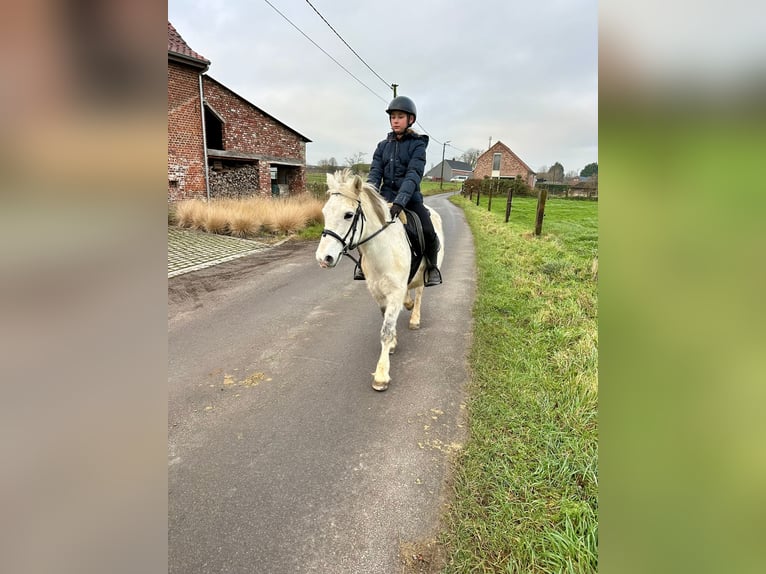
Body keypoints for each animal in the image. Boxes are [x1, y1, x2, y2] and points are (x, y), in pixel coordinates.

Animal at [316, 166, 444, 392]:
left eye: (348, 215)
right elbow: (387, 322)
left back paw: (415, 318)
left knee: (420, 293)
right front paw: (393, 343)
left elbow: (386, 330)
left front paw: (382, 375)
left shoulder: (394, 292)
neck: (382, 250)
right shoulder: (378, 292)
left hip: (425, 275)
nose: (324, 258)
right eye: (324, 213)